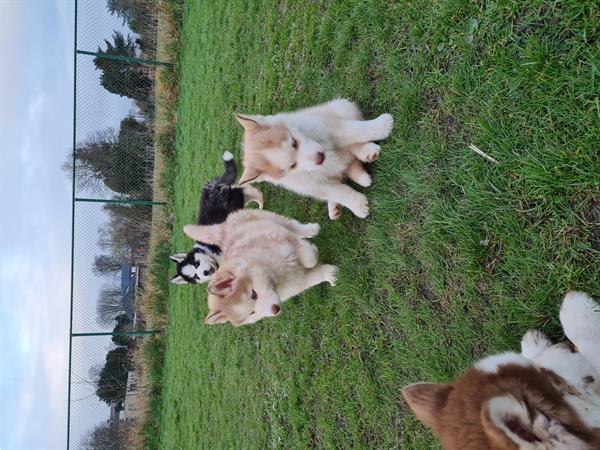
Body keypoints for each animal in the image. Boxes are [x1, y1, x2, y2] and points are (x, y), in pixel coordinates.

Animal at [169, 151, 262, 284]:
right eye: (195, 276)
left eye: (196, 264)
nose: (205, 272)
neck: (209, 252)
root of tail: (209, 187)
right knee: (244, 190)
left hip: (231, 202)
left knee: (244, 191)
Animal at [183, 209, 338, 326]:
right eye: (252, 313)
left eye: (253, 294)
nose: (275, 310)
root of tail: (222, 234)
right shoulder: (295, 284)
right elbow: (313, 277)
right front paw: (330, 274)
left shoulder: (282, 239)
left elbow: (309, 258)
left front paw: (312, 250)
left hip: (265, 218)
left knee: (290, 224)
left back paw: (309, 229)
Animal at [234, 98, 394, 220]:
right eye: (292, 166)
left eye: (294, 142)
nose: (320, 158)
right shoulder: (310, 184)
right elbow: (337, 192)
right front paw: (358, 205)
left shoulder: (327, 128)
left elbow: (355, 131)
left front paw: (383, 125)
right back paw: (334, 206)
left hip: (339, 107)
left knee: (352, 143)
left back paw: (367, 152)